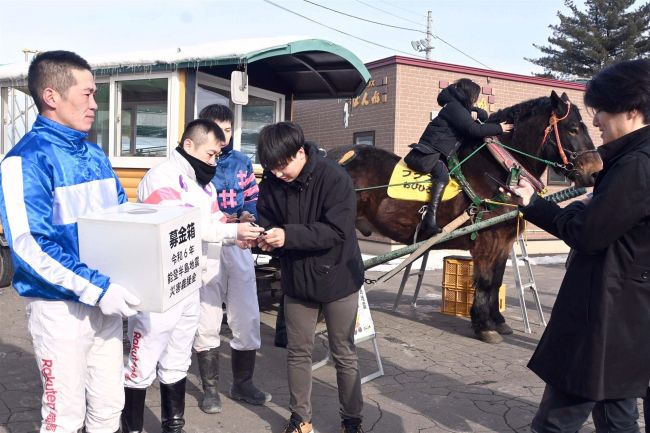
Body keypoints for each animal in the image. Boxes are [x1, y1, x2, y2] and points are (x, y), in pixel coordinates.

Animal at [334, 91, 604, 344]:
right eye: (573, 128)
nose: (595, 172)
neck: (498, 174)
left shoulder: (504, 243)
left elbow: (496, 280)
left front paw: (497, 321)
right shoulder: (488, 241)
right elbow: (484, 282)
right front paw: (484, 326)